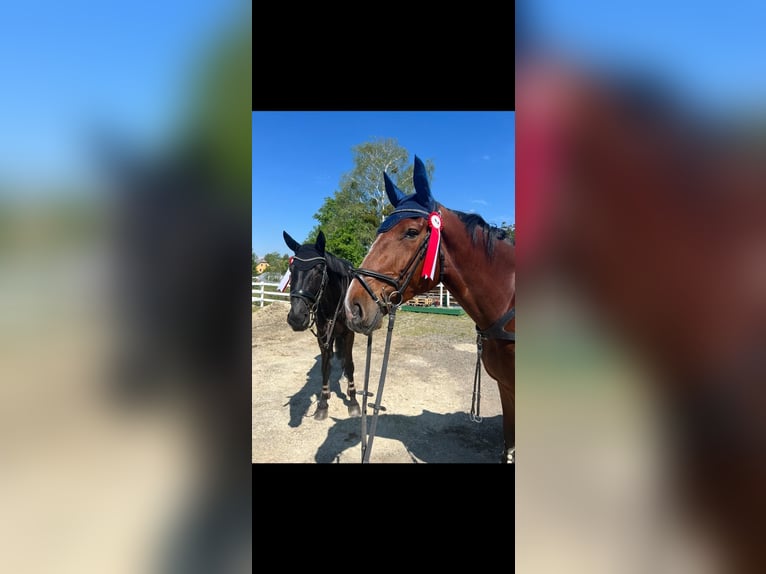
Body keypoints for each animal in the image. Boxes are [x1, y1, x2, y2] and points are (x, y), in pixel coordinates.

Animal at [283, 230, 361, 421]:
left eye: (319, 270)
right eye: (291, 270)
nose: (296, 317)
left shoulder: (349, 334)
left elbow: (350, 365)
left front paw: (353, 401)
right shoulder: (323, 335)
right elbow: (325, 367)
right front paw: (323, 403)